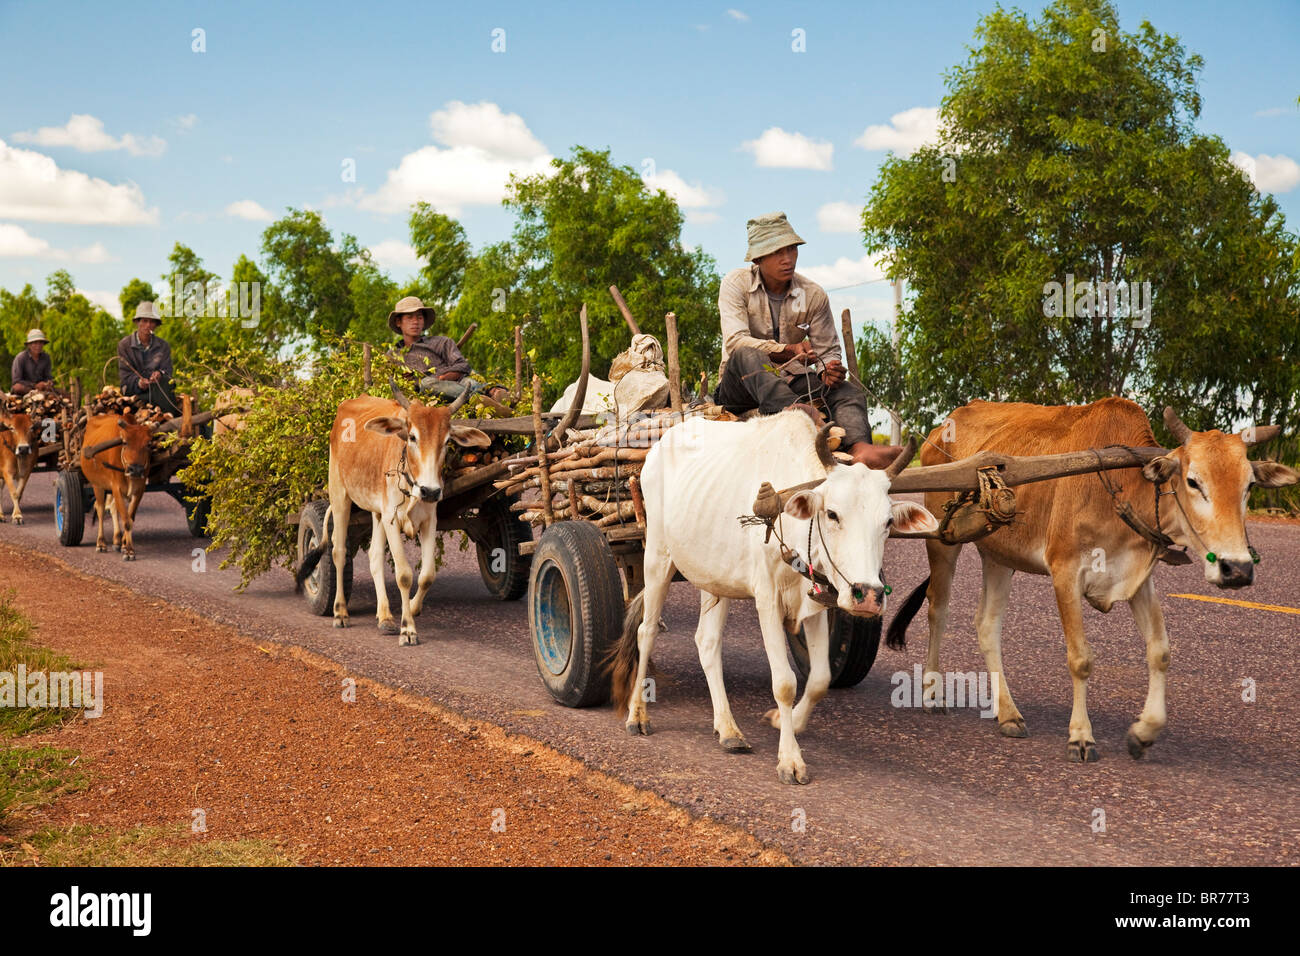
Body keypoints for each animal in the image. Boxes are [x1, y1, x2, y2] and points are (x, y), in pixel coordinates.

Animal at [78, 413, 152, 561]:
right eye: (125, 442)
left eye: (148, 444)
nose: (135, 469)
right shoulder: (116, 488)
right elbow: (126, 521)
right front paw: (129, 551)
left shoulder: (139, 491)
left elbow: (130, 518)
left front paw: (125, 546)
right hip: (97, 485)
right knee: (100, 510)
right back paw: (101, 543)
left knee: (112, 508)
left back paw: (117, 540)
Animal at [296, 379, 491, 642]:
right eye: (412, 437)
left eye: (447, 441)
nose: (430, 491)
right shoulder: (392, 519)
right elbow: (404, 575)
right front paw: (407, 628)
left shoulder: (428, 521)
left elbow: (427, 575)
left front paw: (413, 608)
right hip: (339, 496)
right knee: (338, 551)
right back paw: (340, 612)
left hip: (377, 513)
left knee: (374, 557)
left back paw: (385, 617)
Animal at [603, 405, 941, 785]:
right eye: (832, 513)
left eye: (887, 523)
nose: (867, 596)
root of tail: (661, 444)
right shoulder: (767, 598)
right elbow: (784, 683)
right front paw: (790, 760)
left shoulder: (817, 600)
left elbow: (820, 680)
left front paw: (784, 721)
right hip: (657, 556)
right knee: (646, 632)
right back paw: (637, 714)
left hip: (712, 577)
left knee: (707, 642)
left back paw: (728, 729)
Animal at [889, 400, 1294, 764]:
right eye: (1194, 481)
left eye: (1248, 486)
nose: (1237, 569)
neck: (1123, 487)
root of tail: (942, 429)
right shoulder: (1065, 572)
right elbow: (1080, 659)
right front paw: (1081, 737)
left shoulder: (1139, 578)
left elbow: (1160, 651)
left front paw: (1143, 733)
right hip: (941, 541)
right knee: (938, 609)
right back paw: (932, 694)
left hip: (999, 556)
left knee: (987, 625)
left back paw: (1008, 714)